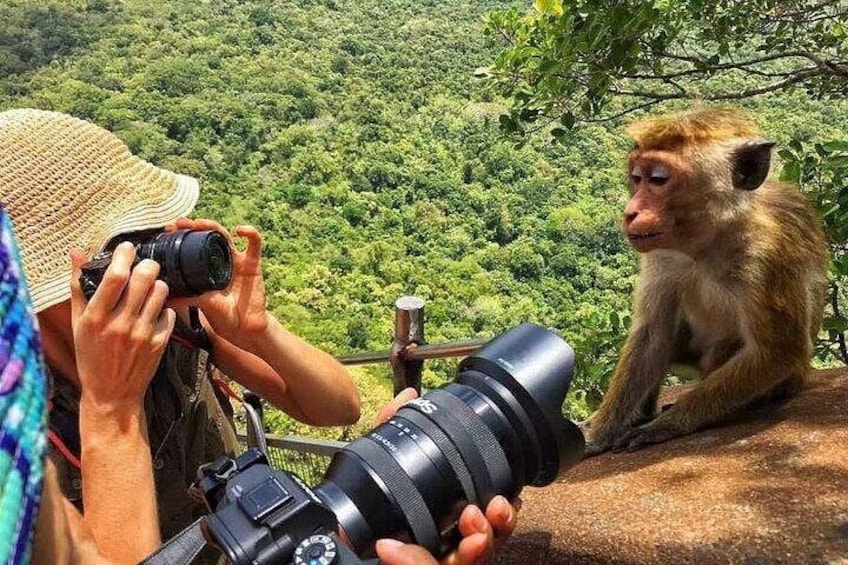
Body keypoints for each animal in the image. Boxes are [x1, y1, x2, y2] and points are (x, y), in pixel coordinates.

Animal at [582, 107, 829, 456]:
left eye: (659, 179)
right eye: (637, 178)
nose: (630, 212)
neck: (708, 242)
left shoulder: (767, 253)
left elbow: (779, 350)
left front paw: (668, 424)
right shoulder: (661, 254)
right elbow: (652, 335)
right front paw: (601, 431)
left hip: (790, 378)